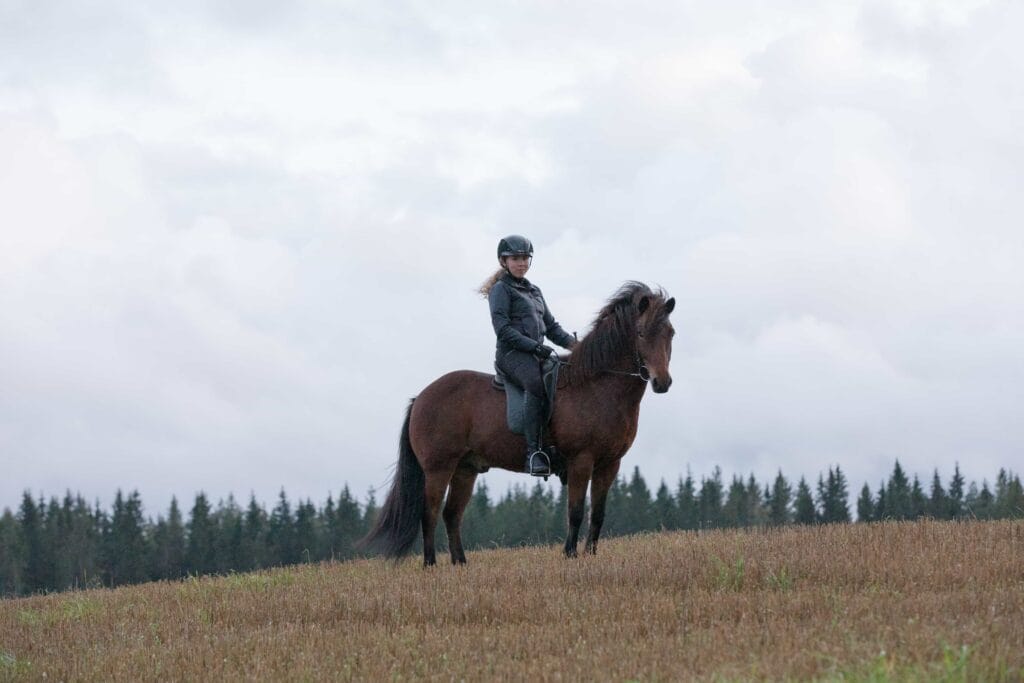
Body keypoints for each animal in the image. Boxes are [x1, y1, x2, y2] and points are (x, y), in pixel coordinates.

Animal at [364, 280, 675, 565]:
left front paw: (591, 556)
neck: (595, 386)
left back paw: (460, 564)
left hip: (465, 469)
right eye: (641, 332)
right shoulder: (581, 460)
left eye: (670, 333)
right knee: (428, 513)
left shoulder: (610, 464)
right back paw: (430, 565)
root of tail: (421, 397)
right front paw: (570, 555)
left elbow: (597, 514)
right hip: (438, 467)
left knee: (452, 514)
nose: (662, 382)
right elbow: (575, 511)